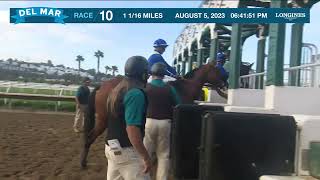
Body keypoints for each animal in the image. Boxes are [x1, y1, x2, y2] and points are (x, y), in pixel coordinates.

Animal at [80, 61, 225, 167]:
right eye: (217, 71)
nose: (225, 83)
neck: (184, 88)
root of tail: (102, 86)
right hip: (103, 119)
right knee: (90, 136)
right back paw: (83, 162)